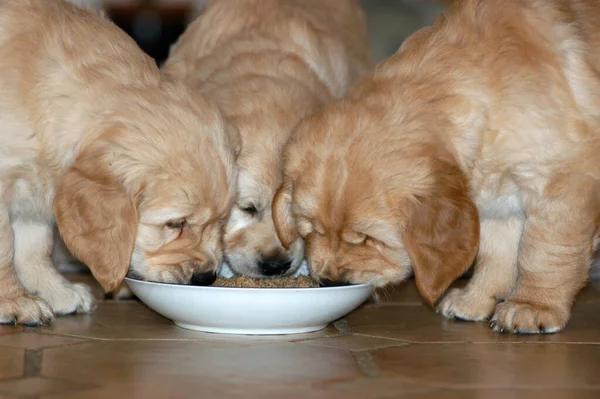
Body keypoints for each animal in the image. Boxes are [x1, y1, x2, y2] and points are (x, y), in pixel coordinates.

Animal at [0, 0, 239, 324]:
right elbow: (6, 248)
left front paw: (56, 291)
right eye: (175, 224)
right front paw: (14, 300)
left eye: (223, 220)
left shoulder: (35, 188)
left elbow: (34, 248)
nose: (206, 277)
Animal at [274, 0, 600, 334]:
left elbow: (545, 251)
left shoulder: (565, 180)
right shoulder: (500, 200)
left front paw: (532, 304)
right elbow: (496, 255)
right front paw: (474, 300)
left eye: (368, 239)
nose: (329, 281)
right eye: (310, 229)